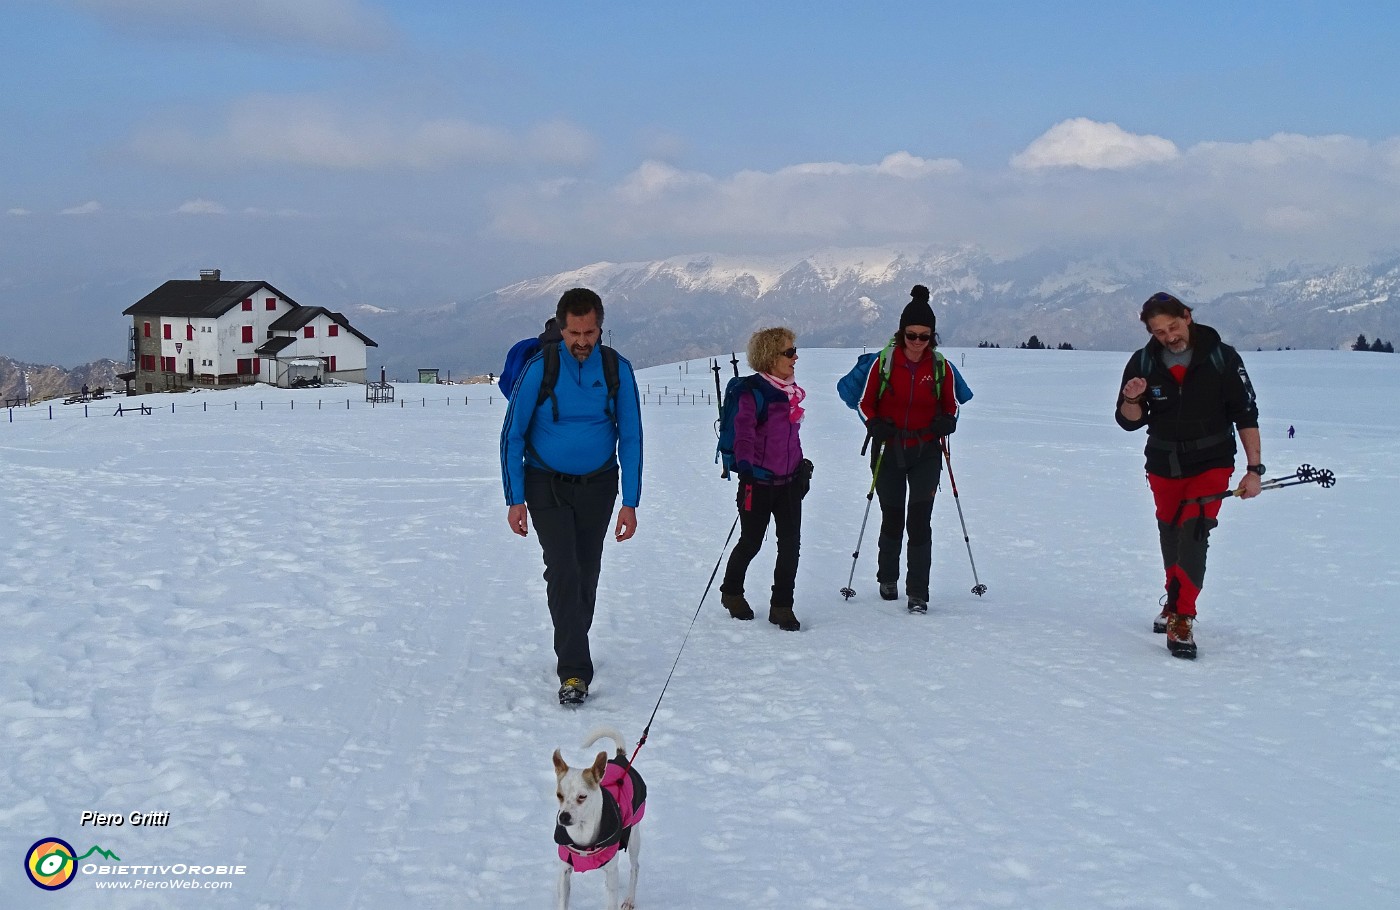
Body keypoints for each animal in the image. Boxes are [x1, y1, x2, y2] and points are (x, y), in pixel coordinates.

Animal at [554, 722, 646, 907]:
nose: (564, 816)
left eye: (582, 796)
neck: (582, 833)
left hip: (634, 837)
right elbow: (563, 901)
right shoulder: (565, 871)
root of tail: (620, 759)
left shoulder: (611, 870)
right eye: (559, 795)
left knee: (635, 867)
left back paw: (629, 899)